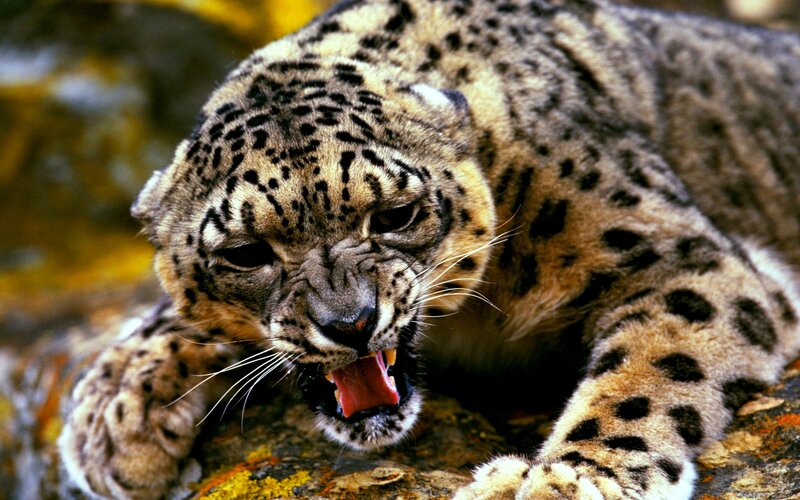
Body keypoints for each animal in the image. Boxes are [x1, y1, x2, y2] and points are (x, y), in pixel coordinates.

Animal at [57, 0, 800, 498]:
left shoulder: (676, 258)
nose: (351, 324)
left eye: (396, 214)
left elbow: (643, 382)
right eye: (246, 252)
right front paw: (113, 417)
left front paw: (559, 480)